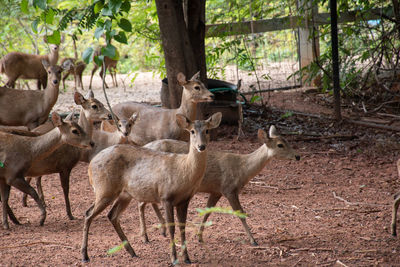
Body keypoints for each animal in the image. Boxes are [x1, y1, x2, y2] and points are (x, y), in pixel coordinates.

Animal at [20, 91, 111, 221]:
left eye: (101, 102)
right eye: (94, 105)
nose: (109, 115)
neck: (76, 148)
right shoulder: (65, 166)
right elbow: (66, 189)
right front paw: (70, 214)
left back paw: (27, 202)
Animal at [81, 112, 222, 264]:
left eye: (207, 130)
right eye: (192, 131)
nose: (201, 146)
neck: (183, 170)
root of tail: (90, 166)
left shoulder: (185, 200)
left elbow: (183, 227)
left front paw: (187, 258)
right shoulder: (166, 196)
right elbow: (171, 228)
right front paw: (174, 259)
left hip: (123, 194)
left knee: (111, 215)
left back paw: (132, 252)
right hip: (105, 189)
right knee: (89, 214)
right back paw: (85, 255)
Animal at [142, 126, 302, 247]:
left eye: (287, 140)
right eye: (280, 144)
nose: (298, 156)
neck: (242, 169)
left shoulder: (216, 191)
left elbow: (207, 211)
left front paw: (199, 237)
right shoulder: (229, 189)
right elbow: (241, 213)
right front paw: (253, 240)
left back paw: (159, 231)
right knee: (142, 203)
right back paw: (146, 236)